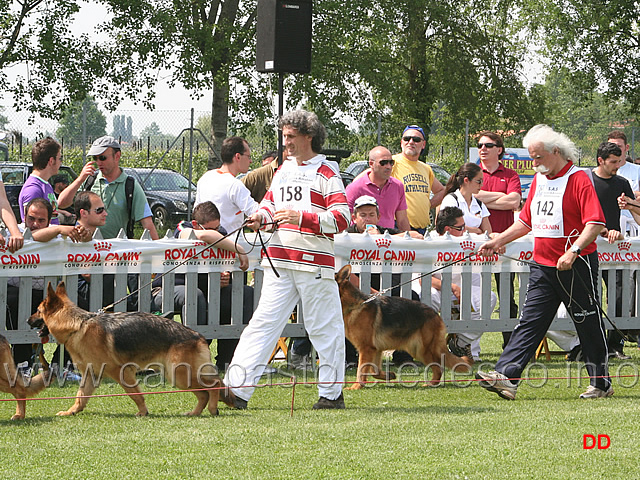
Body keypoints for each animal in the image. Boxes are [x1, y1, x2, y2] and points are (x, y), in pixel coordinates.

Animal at [28, 282, 238, 416]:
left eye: (38, 310)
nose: (28, 321)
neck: (77, 325)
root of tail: (198, 336)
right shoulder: (90, 375)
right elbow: (80, 397)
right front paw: (72, 412)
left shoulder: (120, 372)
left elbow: (135, 394)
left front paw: (143, 412)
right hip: (178, 376)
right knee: (204, 393)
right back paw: (196, 412)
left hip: (179, 374)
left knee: (214, 385)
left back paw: (212, 409)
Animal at [336, 264, 470, 392]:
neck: (355, 306)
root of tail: (436, 315)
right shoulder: (375, 350)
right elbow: (374, 370)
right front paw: (389, 375)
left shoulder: (366, 349)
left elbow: (361, 370)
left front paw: (356, 386)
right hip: (418, 350)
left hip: (422, 350)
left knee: (439, 367)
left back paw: (430, 384)